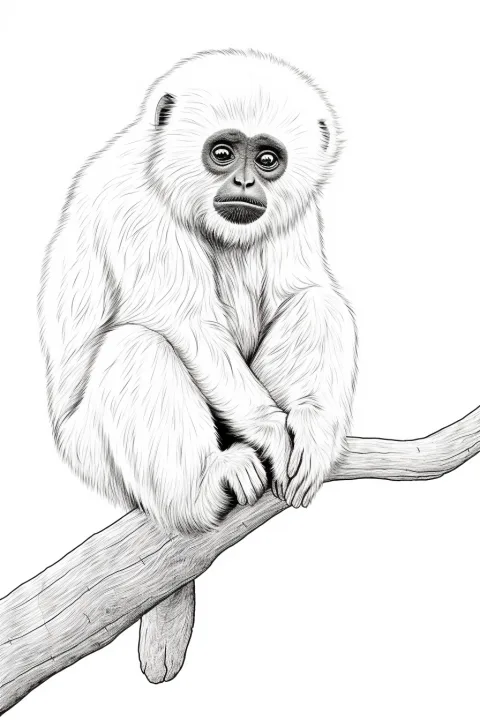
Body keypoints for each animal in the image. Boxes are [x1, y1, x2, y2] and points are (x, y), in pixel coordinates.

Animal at [38, 49, 357, 681]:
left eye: (267, 160)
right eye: (223, 153)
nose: (244, 183)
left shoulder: (298, 215)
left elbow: (303, 290)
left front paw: (308, 431)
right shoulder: (134, 203)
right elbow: (186, 322)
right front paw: (273, 435)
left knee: (318, 303)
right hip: (91, 456)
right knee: (136, 348)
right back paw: (207, 487)